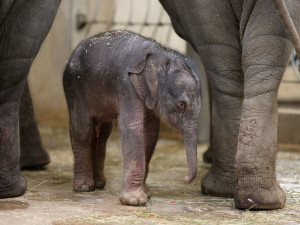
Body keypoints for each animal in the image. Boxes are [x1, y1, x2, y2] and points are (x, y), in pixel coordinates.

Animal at [64, 29, 203, 206]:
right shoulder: (126, 86)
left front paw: (147, 194)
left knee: (102, 134)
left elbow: (150, 132)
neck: (159, 54)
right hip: (73, 88)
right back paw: (84, 187)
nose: (186, 178)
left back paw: (99, 183)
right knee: (82, 130)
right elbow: (132, 127)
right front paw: (134, 201)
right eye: (181, 105)